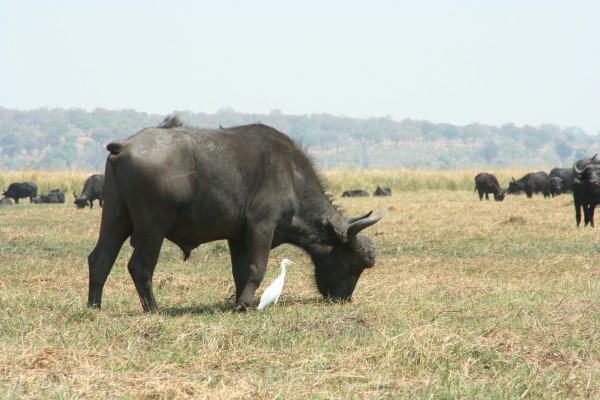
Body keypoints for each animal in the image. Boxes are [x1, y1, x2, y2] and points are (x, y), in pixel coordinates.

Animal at [86, 115, 382, 312]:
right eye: (354, 266)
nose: (343, 298)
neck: (290, 175)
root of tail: (125, 145)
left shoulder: (238, 238)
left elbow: (240, 270)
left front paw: (241, 302)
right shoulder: (261, 228)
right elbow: (257, 267)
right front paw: (244, 305)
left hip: (115, 218)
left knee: (100, 259)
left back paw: (94, 306)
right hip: (152, 227)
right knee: (140, 266)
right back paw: (154, 310)